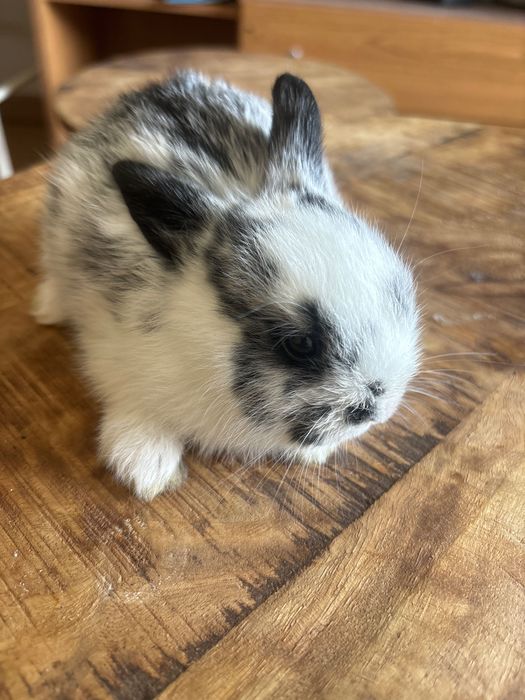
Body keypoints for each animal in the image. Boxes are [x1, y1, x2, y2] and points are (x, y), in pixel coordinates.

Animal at [34, 70, 421, 500]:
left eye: (400, 293)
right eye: (299, 345)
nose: (378, 409)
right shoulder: (112, 358)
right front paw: (148, 471)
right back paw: (47, 308)